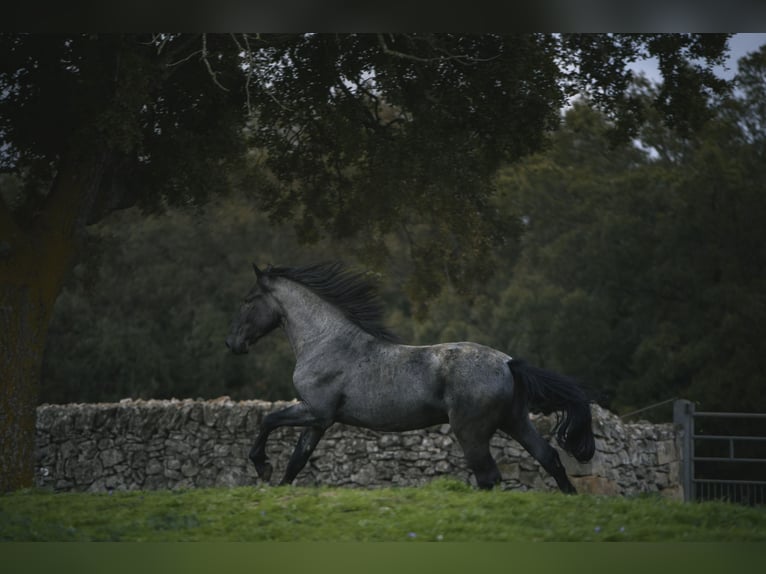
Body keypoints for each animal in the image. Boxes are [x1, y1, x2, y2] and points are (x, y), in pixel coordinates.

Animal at [225, 261, 595, 493]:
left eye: (247, 300)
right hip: (515, 421)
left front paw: (262, 467)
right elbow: (296, 461)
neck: (325, 342)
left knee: (489, 476)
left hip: (471, 432)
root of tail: (507, 363)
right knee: (549, 458)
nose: (233, 344)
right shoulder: (318, 421)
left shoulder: (315, 411)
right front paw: (278, 486)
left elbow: (268, 420)